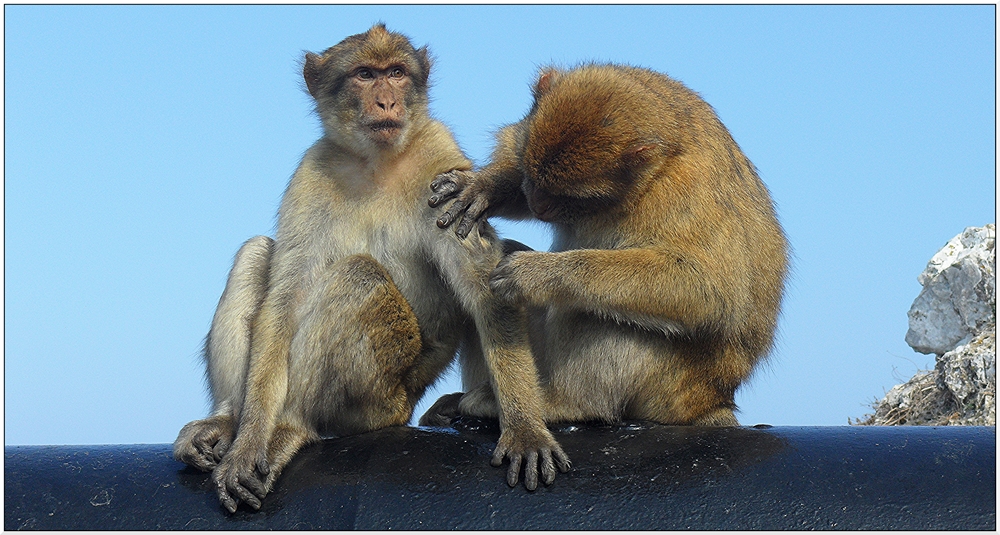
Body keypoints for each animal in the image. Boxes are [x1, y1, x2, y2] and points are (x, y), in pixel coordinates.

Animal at [175, 26, 568, 516]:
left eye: (396, 73)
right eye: (365, 75)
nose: (386, 101)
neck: (377, 161)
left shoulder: (440, 160)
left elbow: (484, 287)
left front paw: (526, 430)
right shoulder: (313, 170)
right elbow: (285, 298)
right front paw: (247, 443)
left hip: (383, 399)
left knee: (358, 275)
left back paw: (291, 427)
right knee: (257, 252)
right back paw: (230, 421)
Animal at [430, 63, 788, 432]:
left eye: (573, 197)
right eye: (531, 175)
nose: (539, 205)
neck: (654, 171)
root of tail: (711, 401)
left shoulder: (684, 190)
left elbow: (711, 292)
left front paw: (538, 273)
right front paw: (483, 187)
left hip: (667, 386)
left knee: (597, 311)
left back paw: (565, 403)